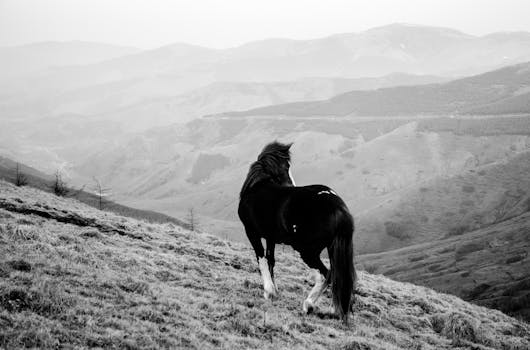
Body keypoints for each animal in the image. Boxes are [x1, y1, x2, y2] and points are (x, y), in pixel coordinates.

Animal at [238, 141, 354, 322]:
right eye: (286, 166)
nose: (290, 185)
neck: (257, 187)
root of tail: (337, 206)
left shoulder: (251, 232)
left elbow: (261, 259)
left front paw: (269, 292)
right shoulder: (271, 237)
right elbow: (271, 260)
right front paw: (275, 291)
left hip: (307, 251)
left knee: (325, 275)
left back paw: (308, 305)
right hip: (332, 248)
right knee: (338, 277)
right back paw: (334, 310)